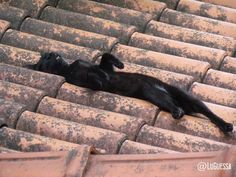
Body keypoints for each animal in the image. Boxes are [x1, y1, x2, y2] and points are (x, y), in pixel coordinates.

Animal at [26, 52, 233, 133]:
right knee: (172, 105)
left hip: (188, 97)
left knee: (209, 113)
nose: (54, 54)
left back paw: (226, 125)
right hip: (153, 93)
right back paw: (178, 112)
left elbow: (106, 57)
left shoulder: (104, 66)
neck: (68, 68)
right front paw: (99, 76)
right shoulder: (82, 80)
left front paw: (120, 64)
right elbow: (95, 79)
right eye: (46, 57)